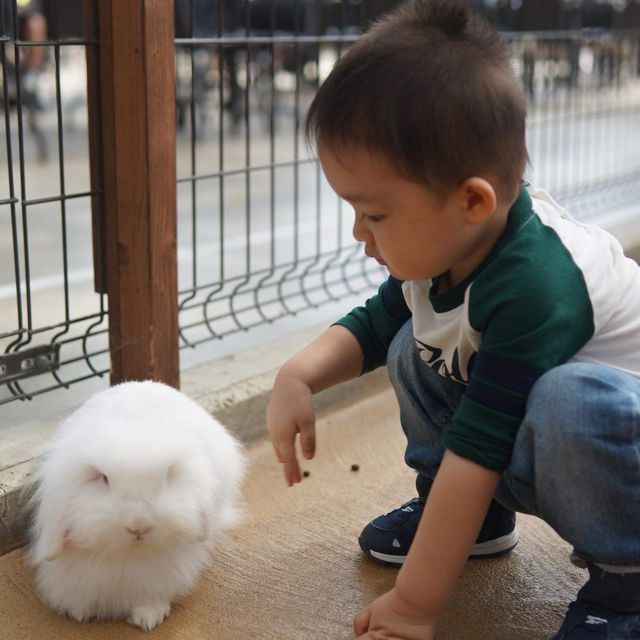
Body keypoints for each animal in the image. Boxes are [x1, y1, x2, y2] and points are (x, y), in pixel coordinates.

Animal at [25, 380, 245, 632]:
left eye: (166, 477)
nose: (139, 525)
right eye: (103, 478)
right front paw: (78, 612)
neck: (127, 556)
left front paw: (148, 619)